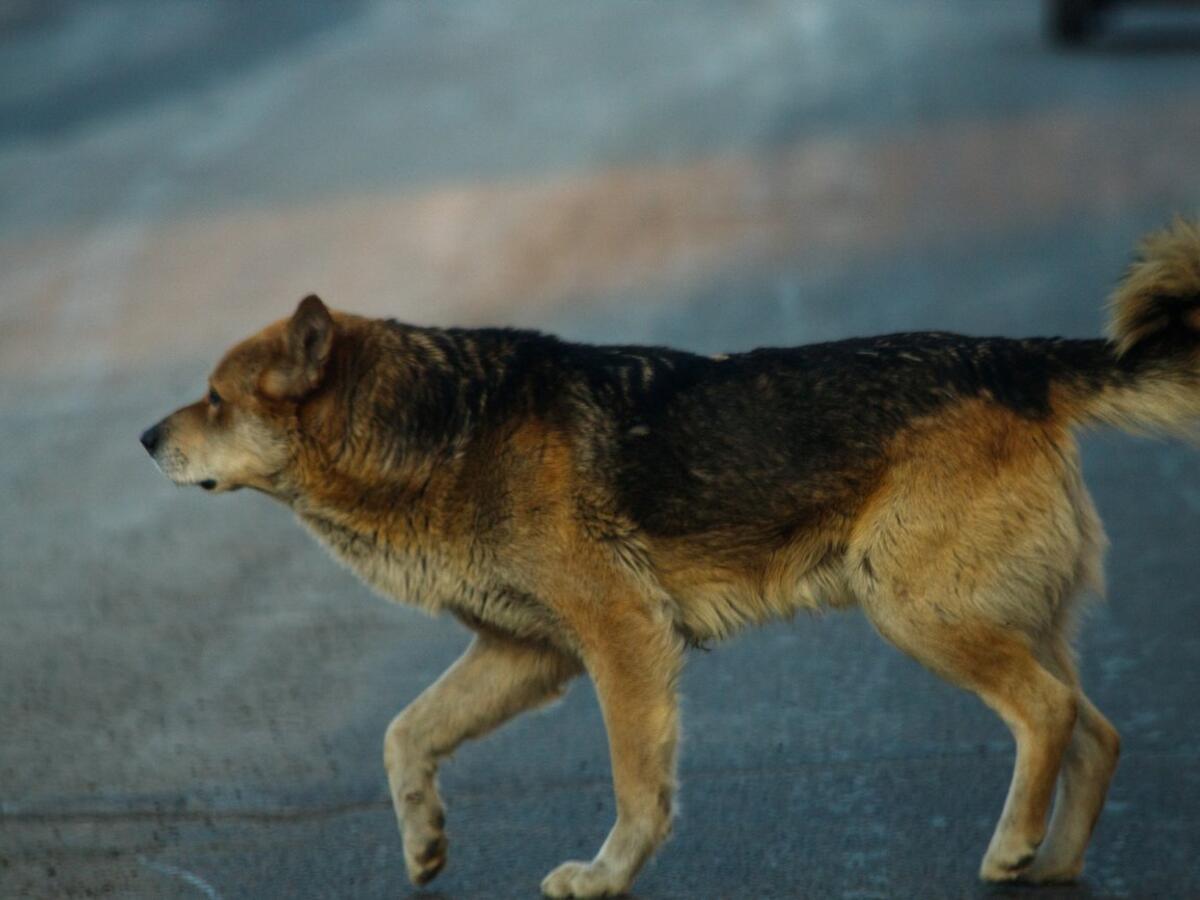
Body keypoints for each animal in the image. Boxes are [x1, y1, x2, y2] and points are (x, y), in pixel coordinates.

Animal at [140, 220, 1200, 900]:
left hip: (919, 612)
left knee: (1049, 714)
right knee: (1097, 733)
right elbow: (405, 735)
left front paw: (605, 876)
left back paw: (1013, 847)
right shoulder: (528, 655)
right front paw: (425, 844)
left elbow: (634, 784)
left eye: (216, 400)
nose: (146, 439)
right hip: (992, 614)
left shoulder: (623, 640)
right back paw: (1054, 863)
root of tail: (1018, 362)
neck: (439, 428)